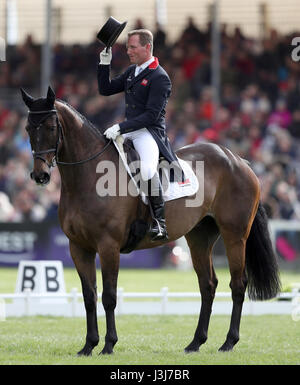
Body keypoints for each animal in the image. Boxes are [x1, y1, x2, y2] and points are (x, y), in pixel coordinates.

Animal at [21, 86, 282, 354]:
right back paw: (195, 343)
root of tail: (238, 160)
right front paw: (88, 346)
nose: (40, 176)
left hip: (235, 236)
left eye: (51, 127)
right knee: (207, 285)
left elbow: (109, 296)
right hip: (199, 237)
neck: (88, 176)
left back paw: (229, 342)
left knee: (238, 284)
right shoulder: (78, 247)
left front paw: (108, 345)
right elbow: (89, 296)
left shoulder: (108, 246)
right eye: (28, 128)